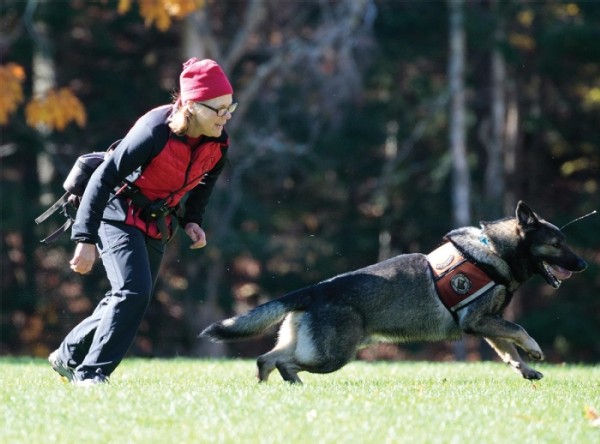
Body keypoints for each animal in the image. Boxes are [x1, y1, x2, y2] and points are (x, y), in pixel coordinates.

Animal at [200, 203, 584, 384]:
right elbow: (519, 331)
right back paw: (290, 383)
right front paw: (534, 350)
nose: (582, 263)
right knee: (280, 361)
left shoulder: (486, 324)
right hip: (332, 356)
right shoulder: (478, 321)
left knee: (266, 359)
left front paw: (526, 369)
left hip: (310, 347)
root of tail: (314, 290)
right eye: (556, 244)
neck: (495, 252)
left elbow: (508, 351)